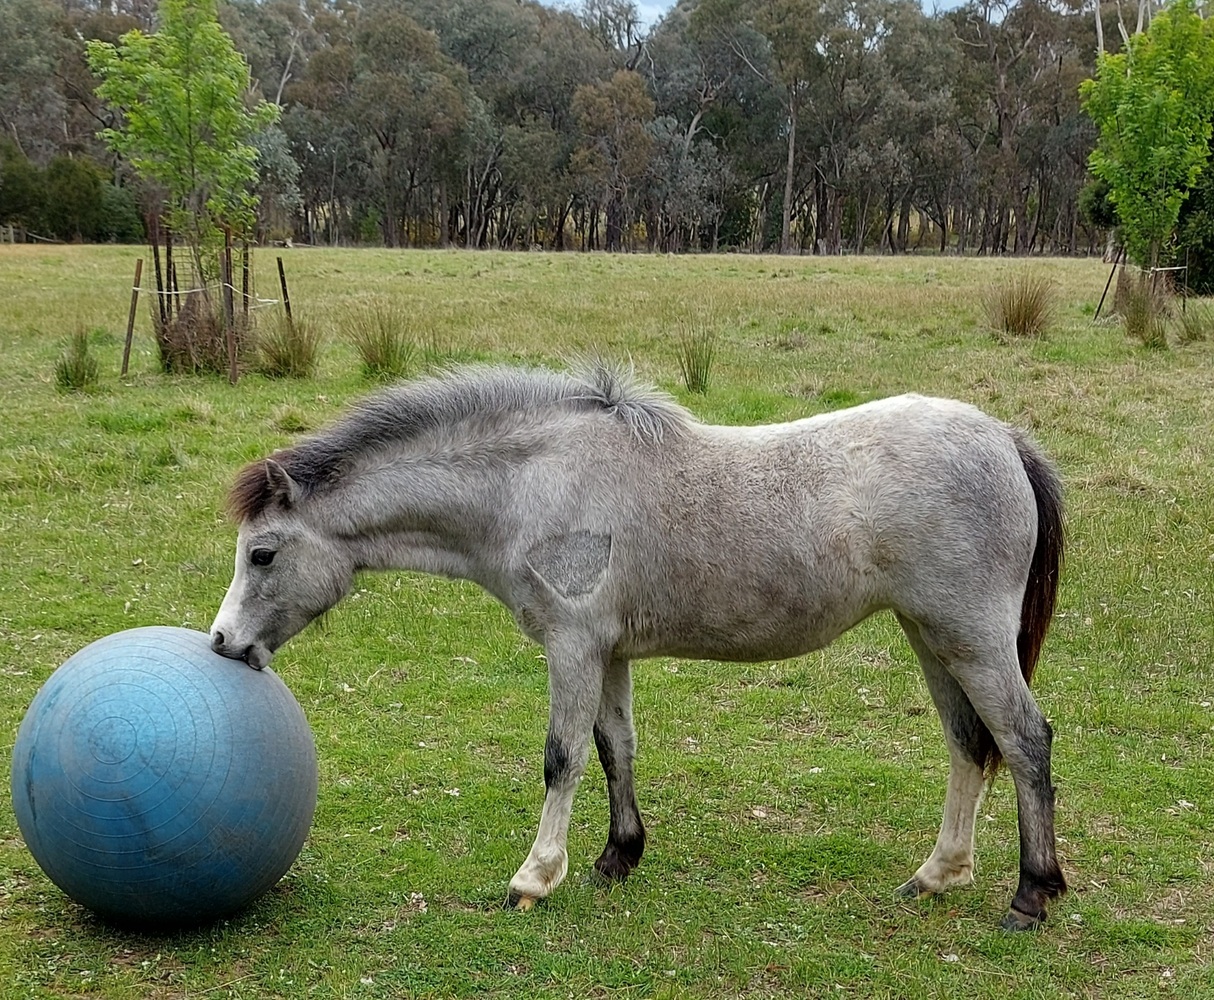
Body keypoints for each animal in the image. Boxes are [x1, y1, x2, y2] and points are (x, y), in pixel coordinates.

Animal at [210, 362, 1067, 930]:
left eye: (263, 554)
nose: (222, 644)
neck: (531, 486)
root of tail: (1005, 439)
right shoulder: (609, 653)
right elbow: (615, 747)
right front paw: (618, 856)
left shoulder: (572, 647)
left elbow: (562, 757)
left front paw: (535, 877)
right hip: (932, 637)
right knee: (969, 743)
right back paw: (939, 874)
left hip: (970, 638)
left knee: (1024, 740)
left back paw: (1032, 891)